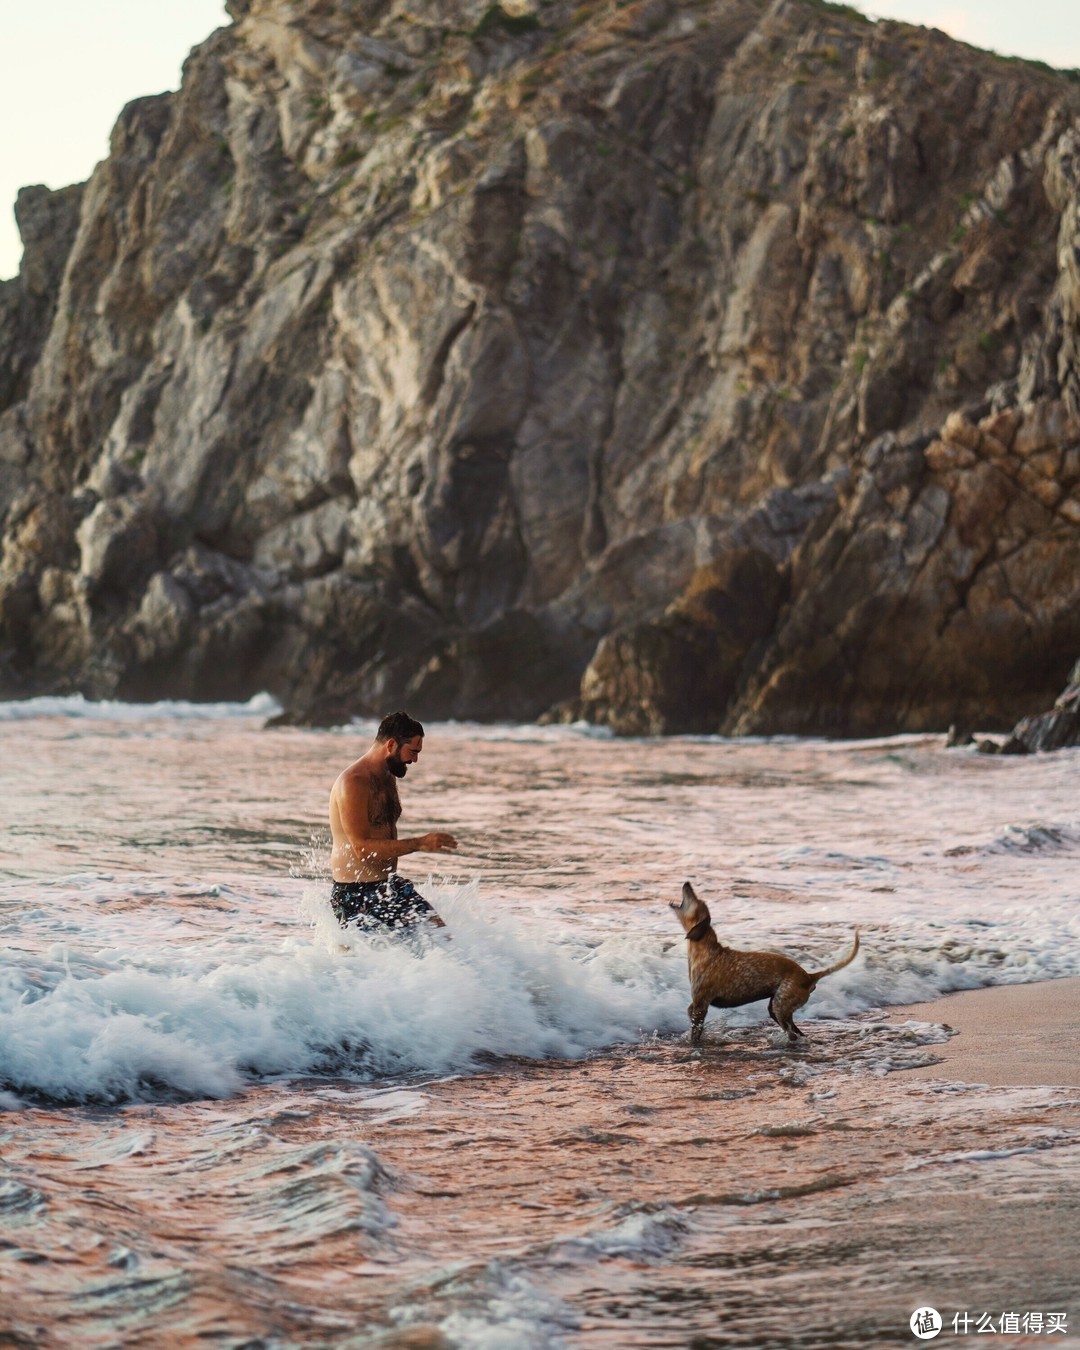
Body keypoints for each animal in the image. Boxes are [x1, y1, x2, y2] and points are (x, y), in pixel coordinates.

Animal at [669, 880, 858, 1047]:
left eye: (697, 901)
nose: (687, 883)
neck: (707, 950)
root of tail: (809, 976)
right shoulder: (696, 1004)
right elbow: (690, 1014)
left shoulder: (701, 1005)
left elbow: (695, 1032)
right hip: (775, 1008)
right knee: (796, 1032)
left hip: (780, 1006)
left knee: (791, 1033)